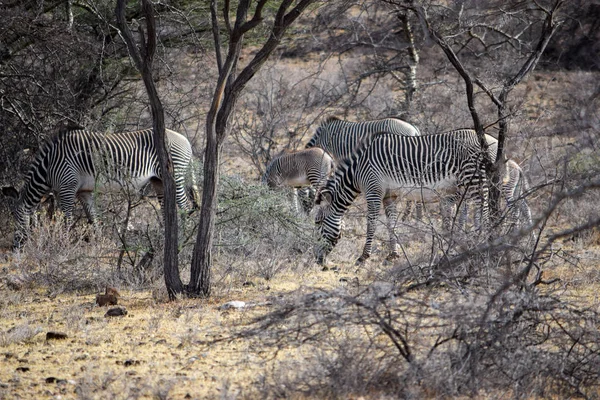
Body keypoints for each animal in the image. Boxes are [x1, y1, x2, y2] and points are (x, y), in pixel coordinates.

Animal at [5, 128, 200, 247]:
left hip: (176, 174)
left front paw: (64, 244)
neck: (48, 166)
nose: (15, 247)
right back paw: (165, 239)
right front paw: (98, 245)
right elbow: (94, 219)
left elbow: (67, 220)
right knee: (167, 209)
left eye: (15, 215)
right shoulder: (83, 192)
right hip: (158, 181)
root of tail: (185, 139)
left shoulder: (67, 187)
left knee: (185, 207)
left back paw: (184, 239)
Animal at [314, 129, 492, 266]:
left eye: (318, 222)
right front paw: (392, 255)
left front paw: (363, 257)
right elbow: (391, 224)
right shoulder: (389, 196)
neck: (357, 170)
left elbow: (371, 224)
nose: (317, 260)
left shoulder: (373, 192)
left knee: (483, 209)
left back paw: (483, 240)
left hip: (473, 178)